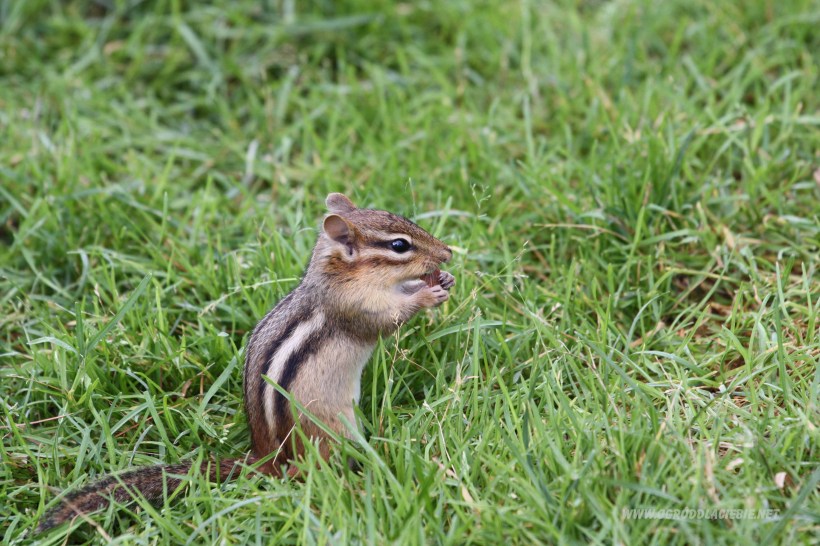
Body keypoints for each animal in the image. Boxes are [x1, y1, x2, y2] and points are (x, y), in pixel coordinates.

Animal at [36, 192, 455, 532]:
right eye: (400, 245)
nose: (448, 252)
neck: (339, 274)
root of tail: (266, 457)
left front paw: (444, 279)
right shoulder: (354, 308)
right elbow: (387, 321)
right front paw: (426, 296)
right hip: (335, 430)